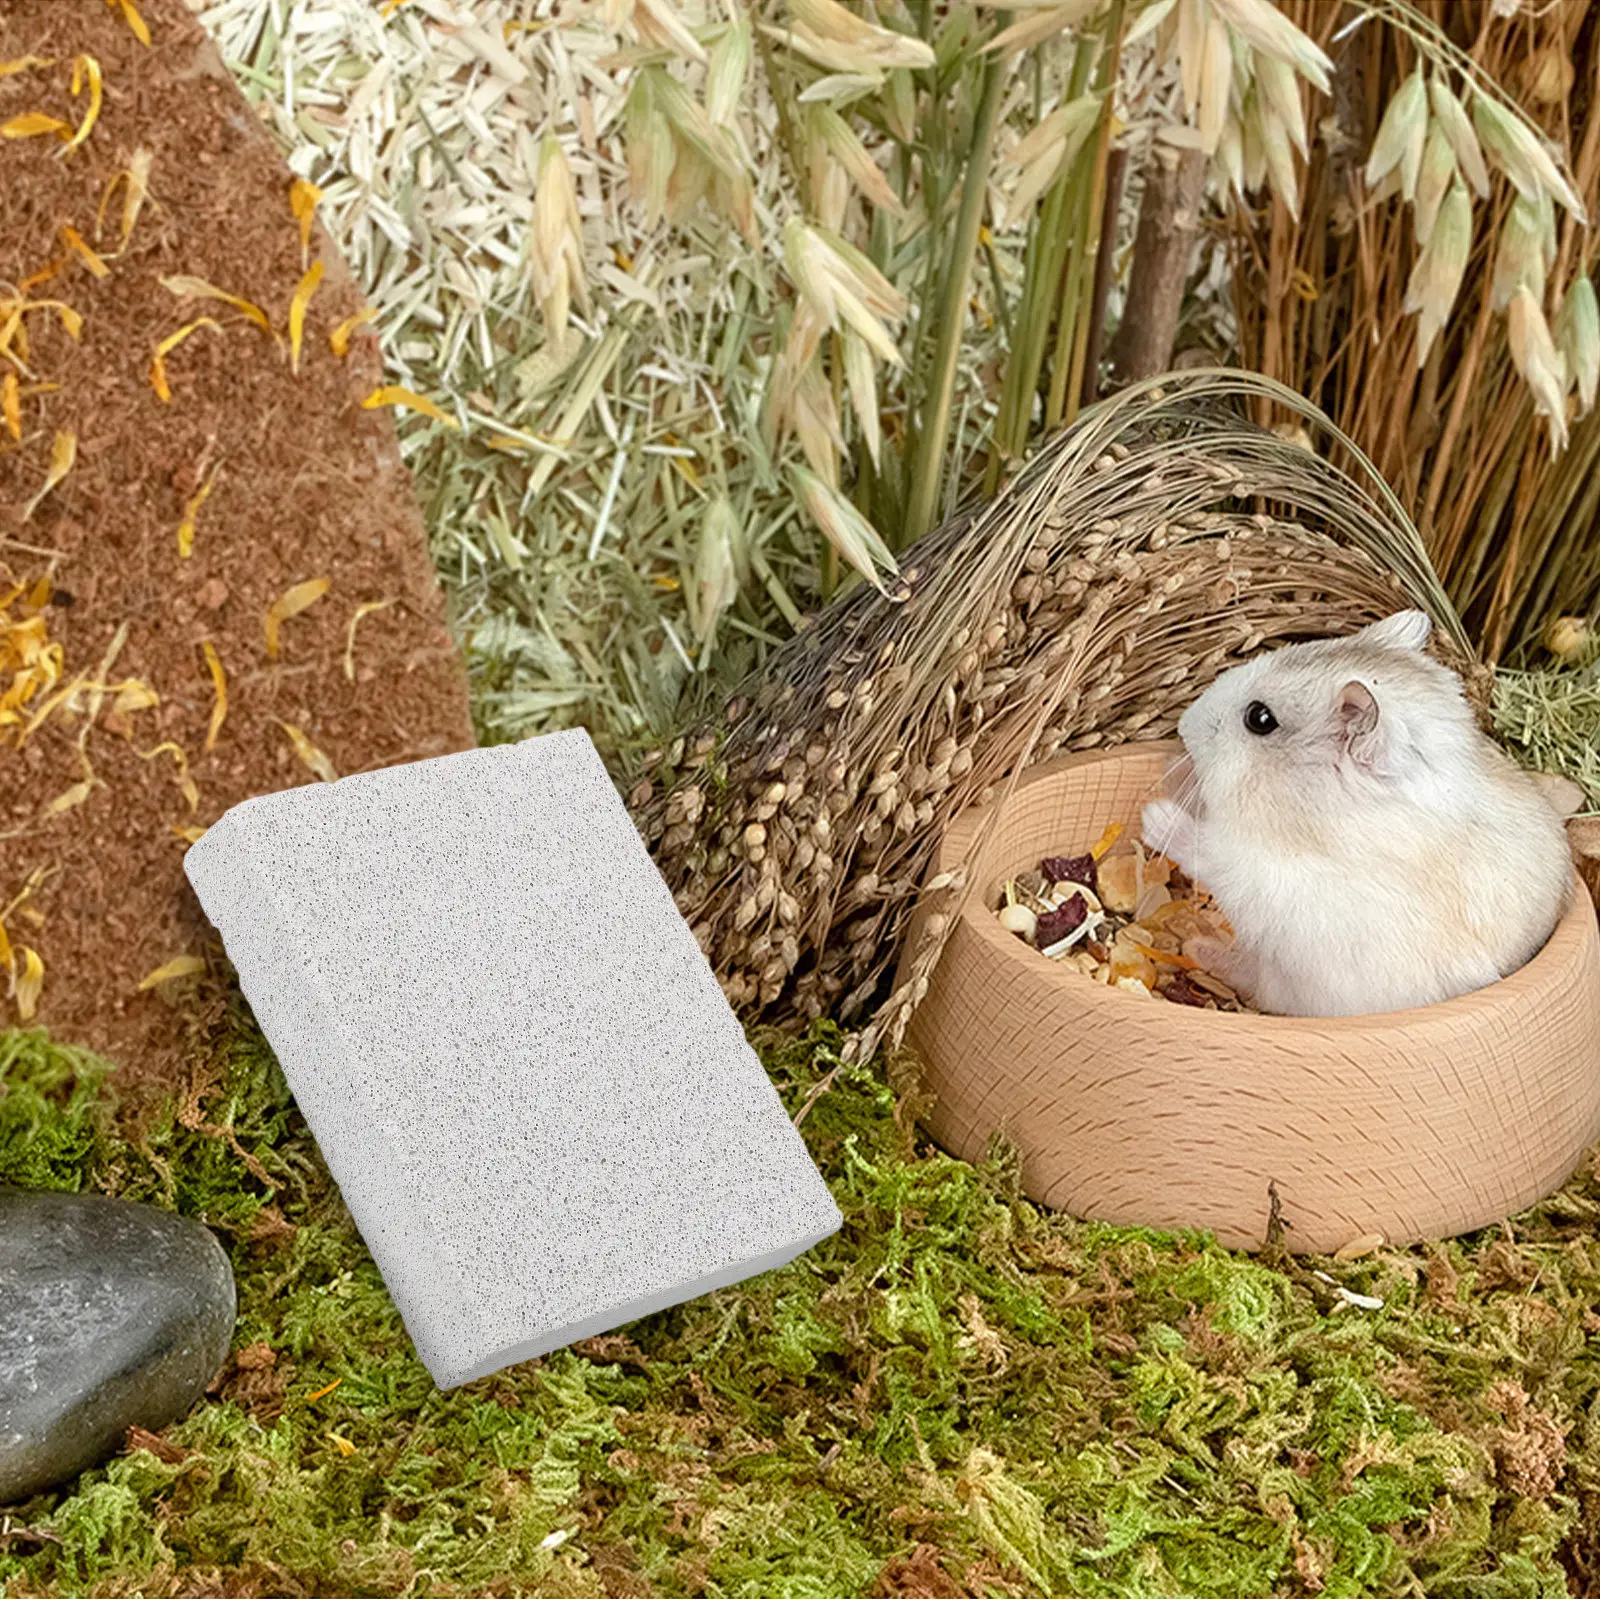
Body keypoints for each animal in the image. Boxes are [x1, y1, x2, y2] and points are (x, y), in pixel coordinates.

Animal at [1140, 610, 1573, 1017]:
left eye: (1259, 719)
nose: (1182, 725)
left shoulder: (1292, 890)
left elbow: (1220, 855)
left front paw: (1154, 816)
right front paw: (1169, 771)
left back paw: (1200, 945)